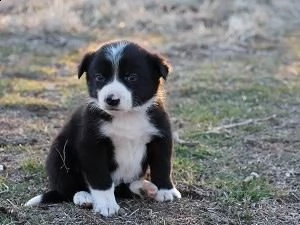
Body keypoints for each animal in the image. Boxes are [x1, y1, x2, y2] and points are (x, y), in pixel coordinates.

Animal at [25, 40, 180, 216]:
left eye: (132, 77)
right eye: (99, 77)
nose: (111, 99)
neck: (127, 116)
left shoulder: (161, 136)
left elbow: (163, 165)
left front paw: (166, 190)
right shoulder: (92, 144)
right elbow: (101, 178)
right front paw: (106, 205)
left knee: (123, 188)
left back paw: (143, 188)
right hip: (58, 154)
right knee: (68, 187)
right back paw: (84, 197)